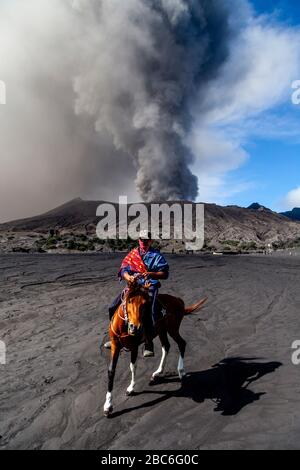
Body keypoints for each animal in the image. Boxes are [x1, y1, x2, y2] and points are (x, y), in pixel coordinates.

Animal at [103, 286, 206, 414]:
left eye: (144, 304)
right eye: (129, 301)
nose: (135, 327)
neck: (124, 327)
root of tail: (178, 300)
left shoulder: (134, 346)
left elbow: (133, 366)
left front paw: (131, 388)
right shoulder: (115, 346)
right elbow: (111, 371)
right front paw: (108, 404)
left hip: (172, 329)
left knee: (182, 343)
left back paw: (181, 370)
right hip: (162, 330)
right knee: (166, 346)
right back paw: (158, 373)